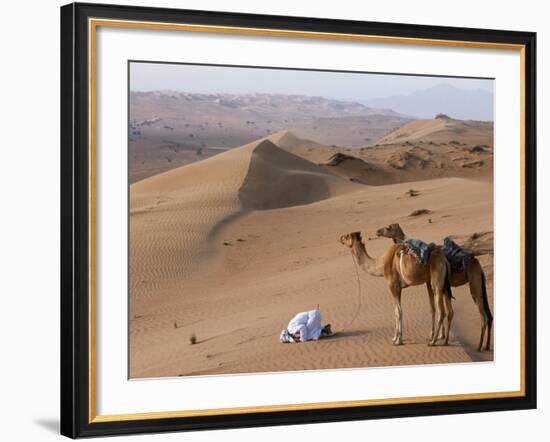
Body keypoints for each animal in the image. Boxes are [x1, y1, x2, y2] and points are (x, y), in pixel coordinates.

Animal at [378, 224, 494, 352]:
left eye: (388, 228)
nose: (378, 231)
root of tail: (478, 265)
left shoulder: (430, 283)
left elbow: (436, 310)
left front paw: (434, 337)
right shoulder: (437, 286)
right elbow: (442, 310)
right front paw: (441, 338)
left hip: (472, 284)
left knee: (482, 315)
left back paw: (476, 346)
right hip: (478, 284)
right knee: (488, 315)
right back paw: (486, 345)